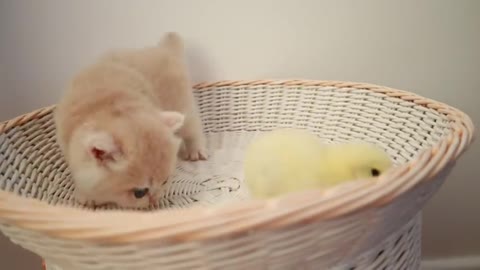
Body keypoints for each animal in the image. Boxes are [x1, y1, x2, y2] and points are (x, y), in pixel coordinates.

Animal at [54, 32, 206, 209]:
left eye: (165, 182)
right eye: (139, 193)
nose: (155, 200)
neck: (106, 107)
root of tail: (162, 49)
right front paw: (85, 195)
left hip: (183, 105)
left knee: (193, 128)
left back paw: (196, 150)